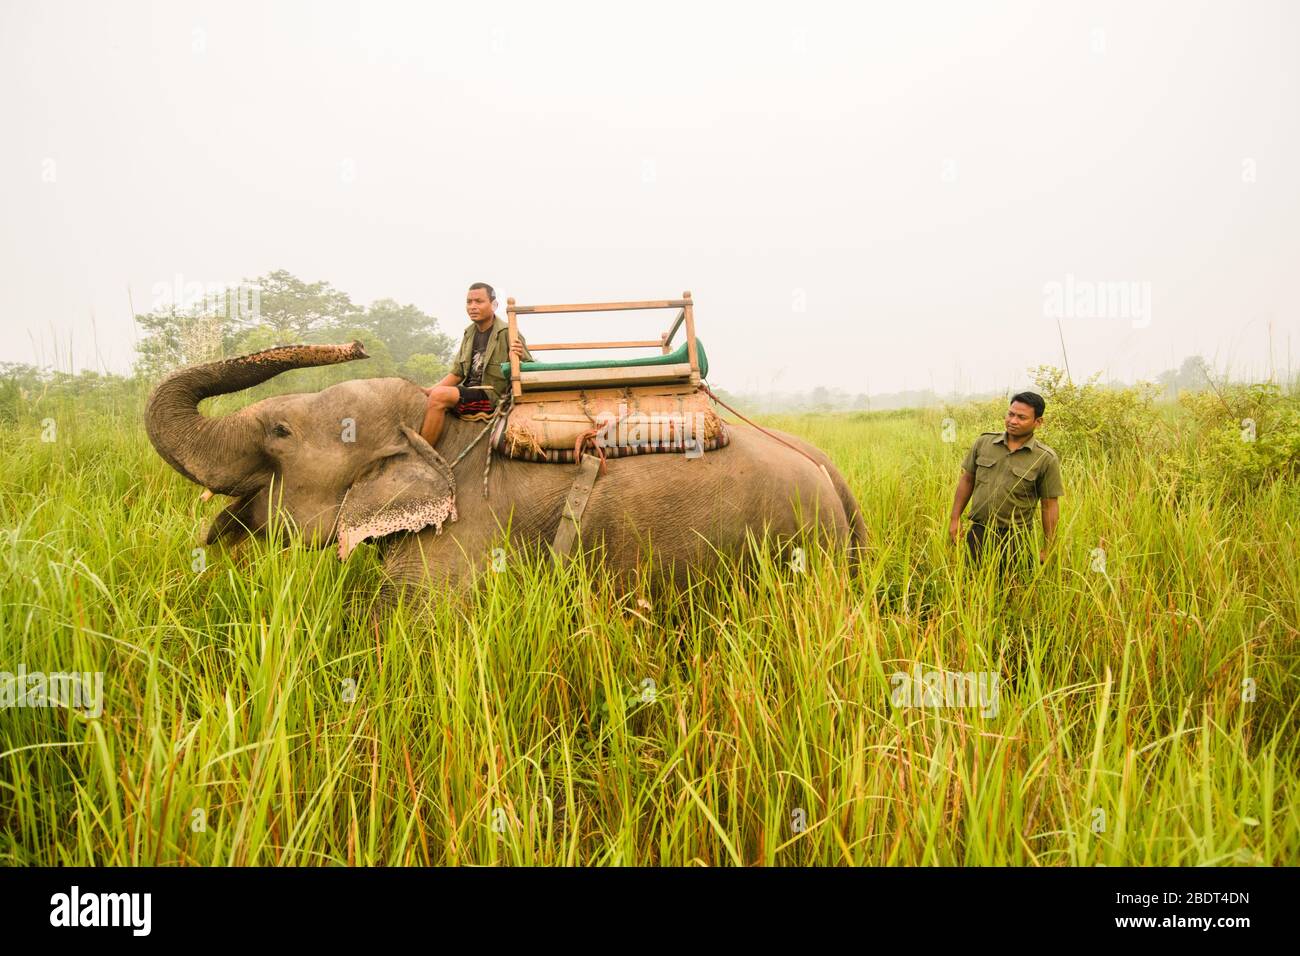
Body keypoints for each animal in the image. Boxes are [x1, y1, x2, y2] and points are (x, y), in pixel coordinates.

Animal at [144, 343, 863, 598]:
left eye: (280, 433)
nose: (354, 344)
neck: (431, 429)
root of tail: (829, 470)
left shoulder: (463, 541)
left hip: (794, 548)